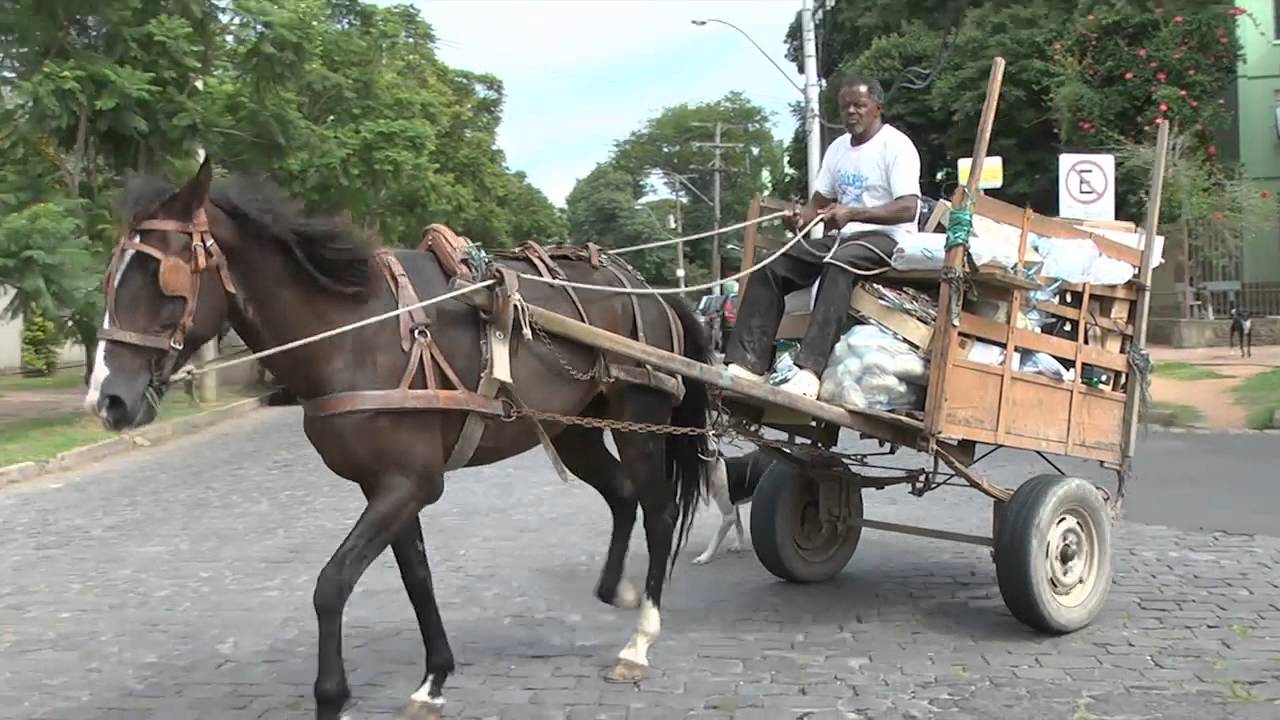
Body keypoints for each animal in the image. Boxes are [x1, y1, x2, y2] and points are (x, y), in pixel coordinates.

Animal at [85, 158, 716, 717]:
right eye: (112, 276)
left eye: (163, 278)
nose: (106, 400)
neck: (355, 333)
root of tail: (648, 288)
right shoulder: (386, 485)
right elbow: (417, 578)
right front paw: (433, 680)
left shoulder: (409, 483)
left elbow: (331, 584)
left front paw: (332, 696)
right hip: (570, 429)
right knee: (622, 495)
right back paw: (617, 590)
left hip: (640, 416)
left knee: (658, 512)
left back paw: (640, 639)